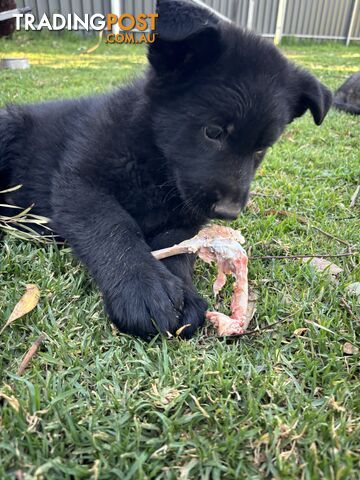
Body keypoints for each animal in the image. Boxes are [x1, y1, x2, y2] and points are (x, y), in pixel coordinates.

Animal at [0, 0, 332, 338]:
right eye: (213, 132)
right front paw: (142, 286)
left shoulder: (183, 219)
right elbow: (113, 225)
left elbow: (177, 247)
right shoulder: (79, 184)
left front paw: (182, 295)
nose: (228, 212)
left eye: (261, 149)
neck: (155, 163)